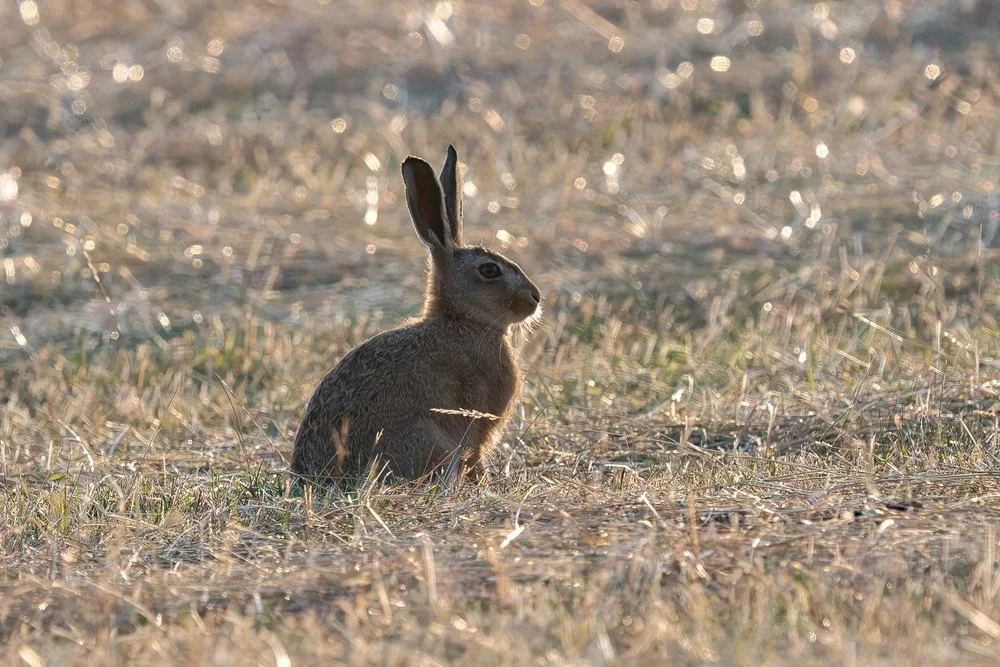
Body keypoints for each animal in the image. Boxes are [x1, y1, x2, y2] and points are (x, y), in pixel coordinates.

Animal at [291, 145, 541, 484]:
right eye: (489, 270)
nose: (536, 298)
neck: (462, 320)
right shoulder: (478, 421)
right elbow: (476, 453)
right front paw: (485, 481)